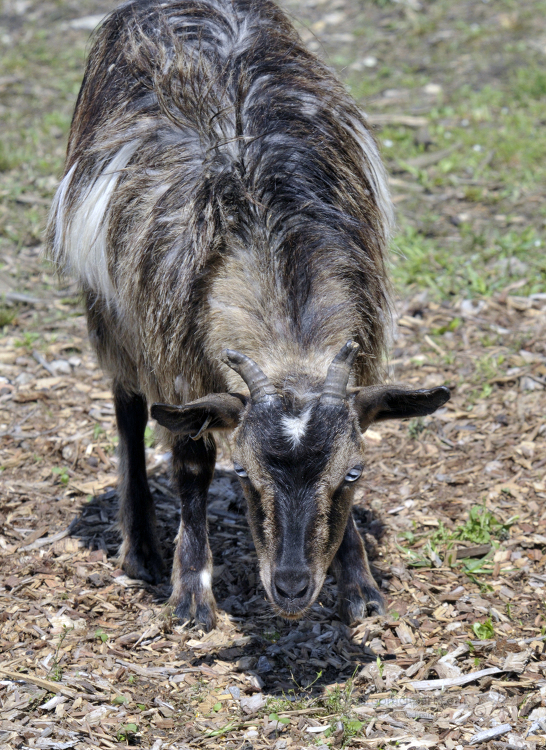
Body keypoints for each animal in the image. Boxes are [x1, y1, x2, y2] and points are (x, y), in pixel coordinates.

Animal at [46, 0, 448, 636]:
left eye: (353, 474)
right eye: (244, 475)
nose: (291, 586)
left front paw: (360, 585)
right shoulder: (175, 355)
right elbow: (190, 462)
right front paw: (191, 594)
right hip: (108, 310)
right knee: (127, 409)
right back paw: (142, 550)